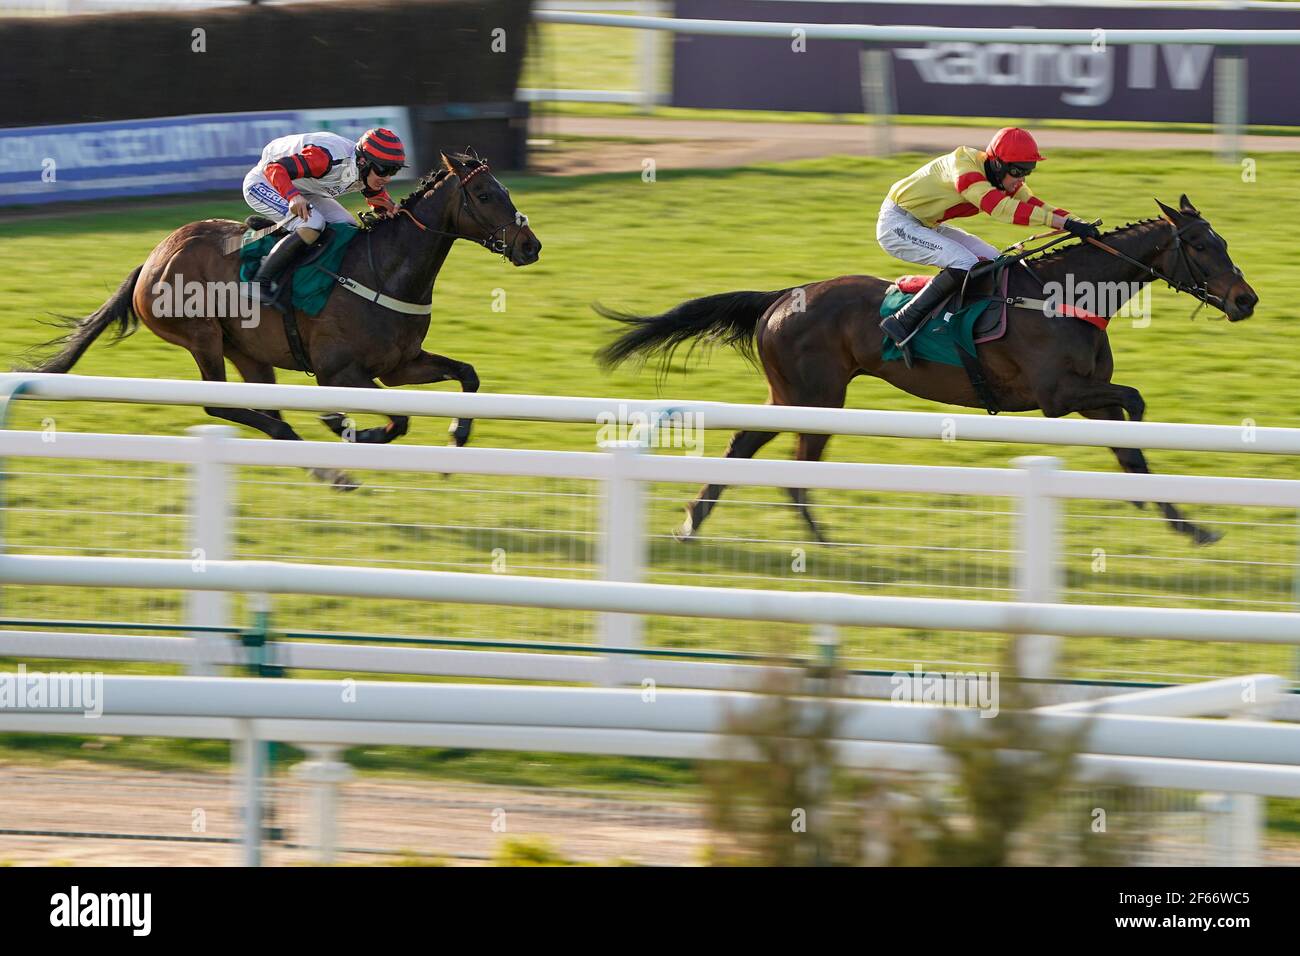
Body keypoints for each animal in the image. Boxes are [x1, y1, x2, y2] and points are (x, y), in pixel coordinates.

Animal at [21, 154, 538, 489]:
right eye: (486, 194)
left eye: (506, 190)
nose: (530, 245)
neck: (382, 268)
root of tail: (151, 260)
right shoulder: (339, 373)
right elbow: (398, 419)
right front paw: (355, 430)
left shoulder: (398, 366)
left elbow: (467, 375)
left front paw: (457, 439)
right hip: (204, 337)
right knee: (220, 404)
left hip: (248, 352)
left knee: (267, 411)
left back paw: (325, 468)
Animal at [598, 196, 1258, 546]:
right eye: (1202, 246)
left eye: (1224, 242)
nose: (1246, 300)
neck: (1064, 295)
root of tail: (782, 296)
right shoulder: (1057, 394)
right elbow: (1136, 403)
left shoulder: (1086, 397)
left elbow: (1131, 445)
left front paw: (1187, 525)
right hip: (816, 395)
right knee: (785, 458)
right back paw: (810, 538)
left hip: (794, 393)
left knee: (746, 445)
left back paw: (701, 522)